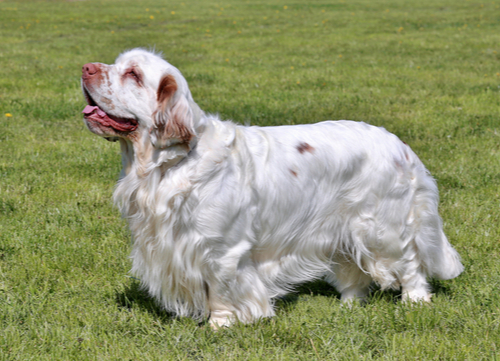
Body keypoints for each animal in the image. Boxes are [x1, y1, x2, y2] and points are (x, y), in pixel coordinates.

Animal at [80, 49, 462, 328]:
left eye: (133, 74)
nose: (85, 68)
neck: (169, 163)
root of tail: (401, 146)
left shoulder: (222, 249)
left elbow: (220, 291)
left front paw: (220, 326)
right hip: (342, 227)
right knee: (353, 269)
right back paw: (349, 305)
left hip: (382, 227)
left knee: (410, 262)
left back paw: (415, 300)